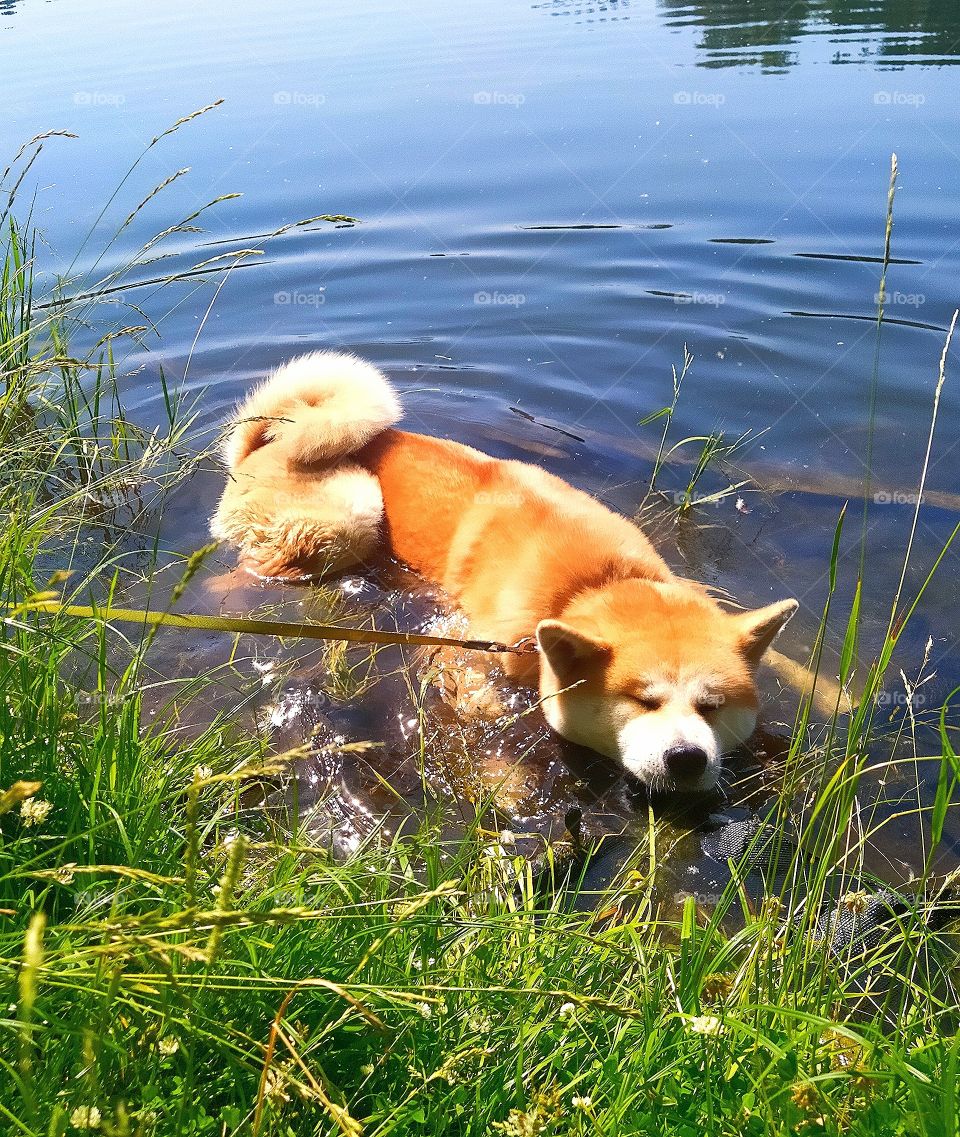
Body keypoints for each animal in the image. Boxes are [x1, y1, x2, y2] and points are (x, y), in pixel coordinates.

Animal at [213, 350, 800, 795]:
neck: (592, 584)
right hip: (353, 508)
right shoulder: (469, 657)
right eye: (642, 700)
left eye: (712, 707)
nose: (687, 757)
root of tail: (262, 447)